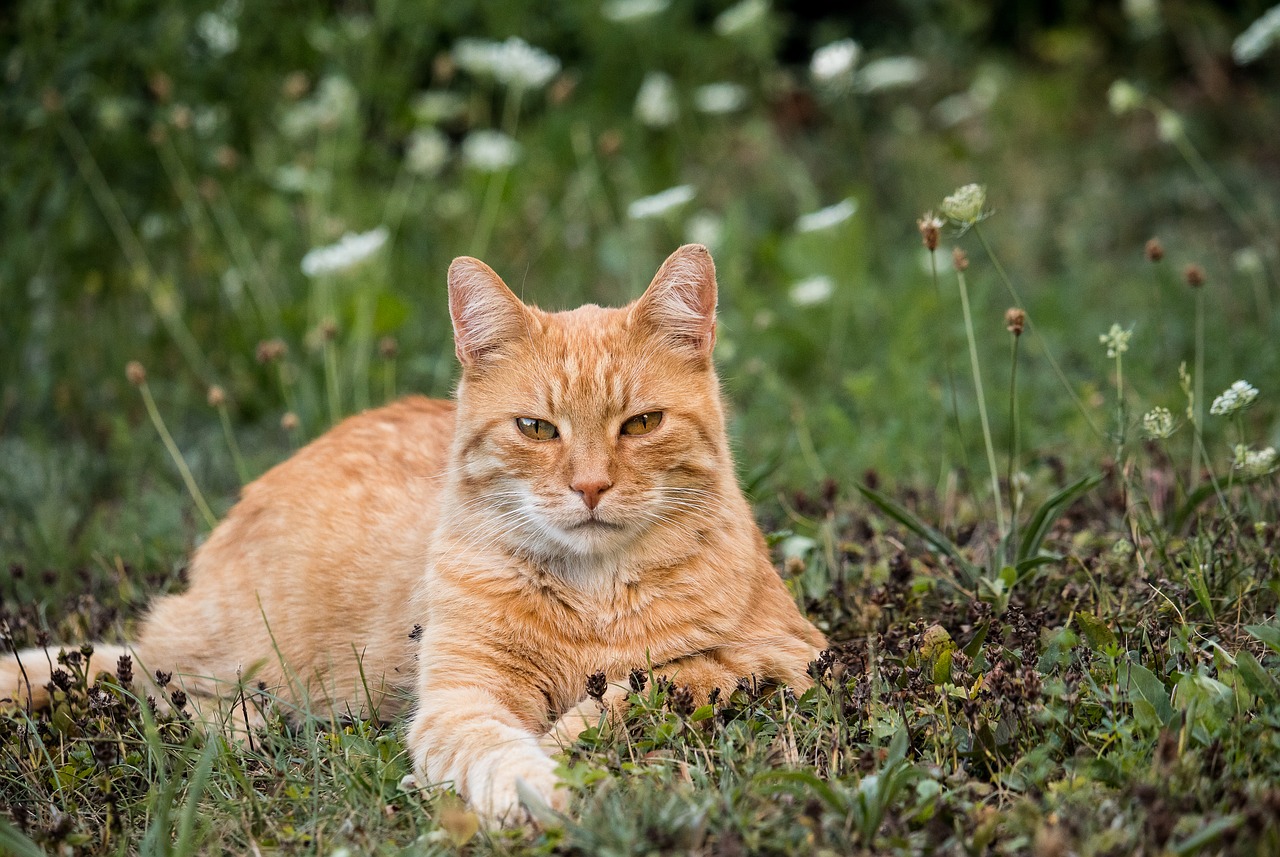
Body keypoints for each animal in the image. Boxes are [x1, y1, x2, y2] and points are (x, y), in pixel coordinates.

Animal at [2, 245, 829, 828]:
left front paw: (575, 742)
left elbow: (656, 682)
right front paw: (544, 787)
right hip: (239, 650)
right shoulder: (461, 698)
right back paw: (244, 726)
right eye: (537, 428)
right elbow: (504, 752)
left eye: (642, 423)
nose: (590, 487)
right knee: (157, 680)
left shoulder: (785, 654)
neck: (592, 595)